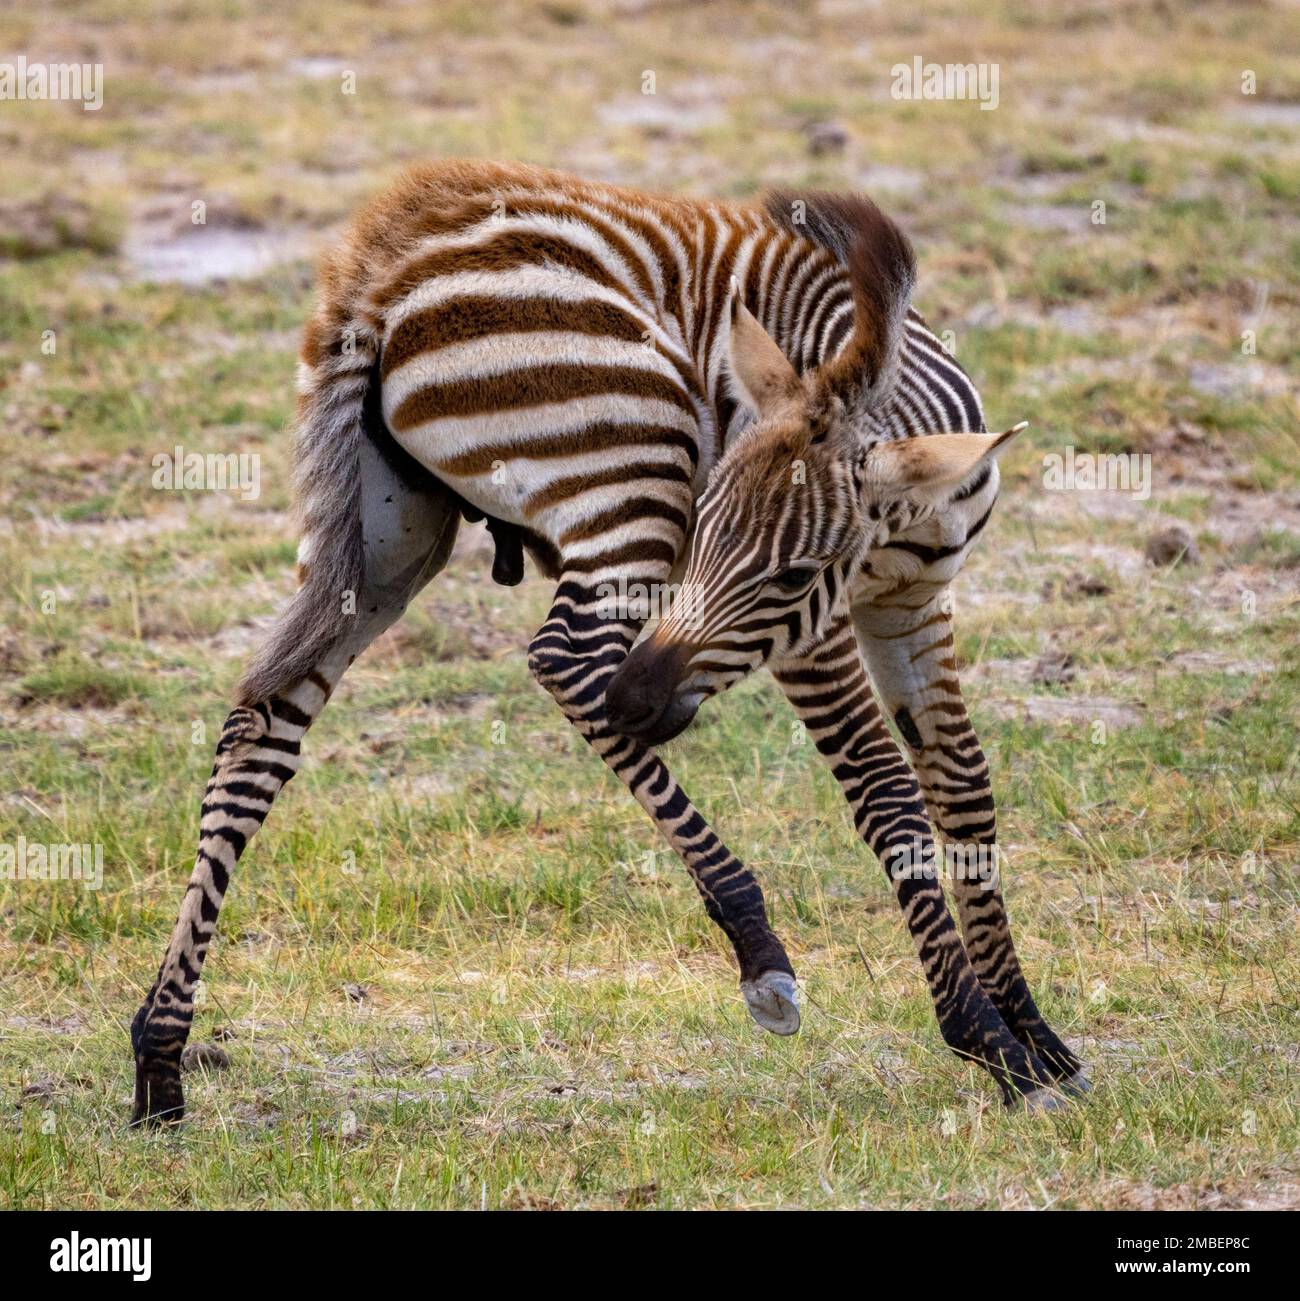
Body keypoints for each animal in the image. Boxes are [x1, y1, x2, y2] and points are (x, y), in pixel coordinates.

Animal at [130, 159, 1082, 1127]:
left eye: (793, 575)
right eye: (707, 532)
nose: (639, 699)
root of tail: (380, 270)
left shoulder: (912, 604)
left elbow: (963, 786)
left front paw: (1037, 1035)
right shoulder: (811, 639)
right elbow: (887, 791)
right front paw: (987, 1040)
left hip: (384, 542)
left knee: (261, 723)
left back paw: (161, 1056)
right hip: (632, 463)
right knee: (564, 663)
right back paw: (755, 943)